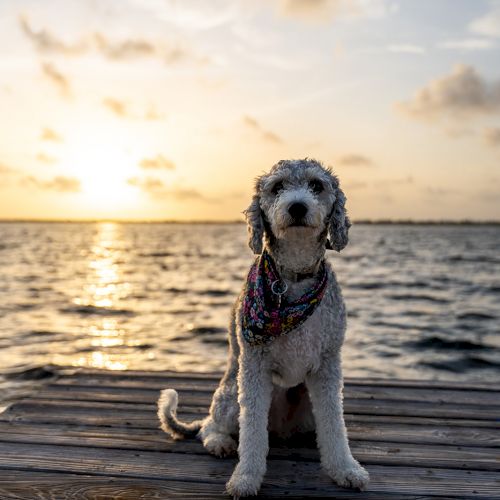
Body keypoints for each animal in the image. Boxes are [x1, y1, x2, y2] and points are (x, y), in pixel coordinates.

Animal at [158, 159, 370, 496]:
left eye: (317, 185)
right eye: (277, 187)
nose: (297, 207)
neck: (293, 279)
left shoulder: (328, 365)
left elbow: (335, 427)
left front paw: (346, 469)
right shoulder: (254, 367)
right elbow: (252, 433)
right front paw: (246, 478)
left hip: (306, 408)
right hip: (232, 395)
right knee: (210, 426)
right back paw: (219, 442)